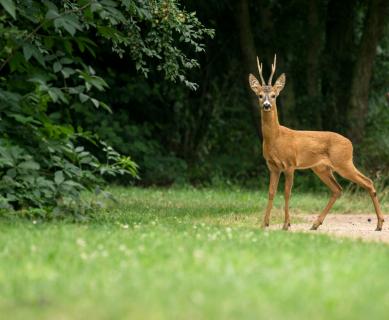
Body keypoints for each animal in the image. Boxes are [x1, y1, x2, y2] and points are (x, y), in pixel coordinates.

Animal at [247, 54, 384, 230]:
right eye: (259, 95)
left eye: (274, 95)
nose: (266, 105)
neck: (276, 139)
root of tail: (350, 143)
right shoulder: (273, 166)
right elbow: (271, 192)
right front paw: (264, 224)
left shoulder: (290, 164)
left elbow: (287, 193)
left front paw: (286, 224)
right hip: (321, 168)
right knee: (338, 189)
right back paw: (315, 224)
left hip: (343, 162)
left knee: (368, 182)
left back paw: (379, 223)